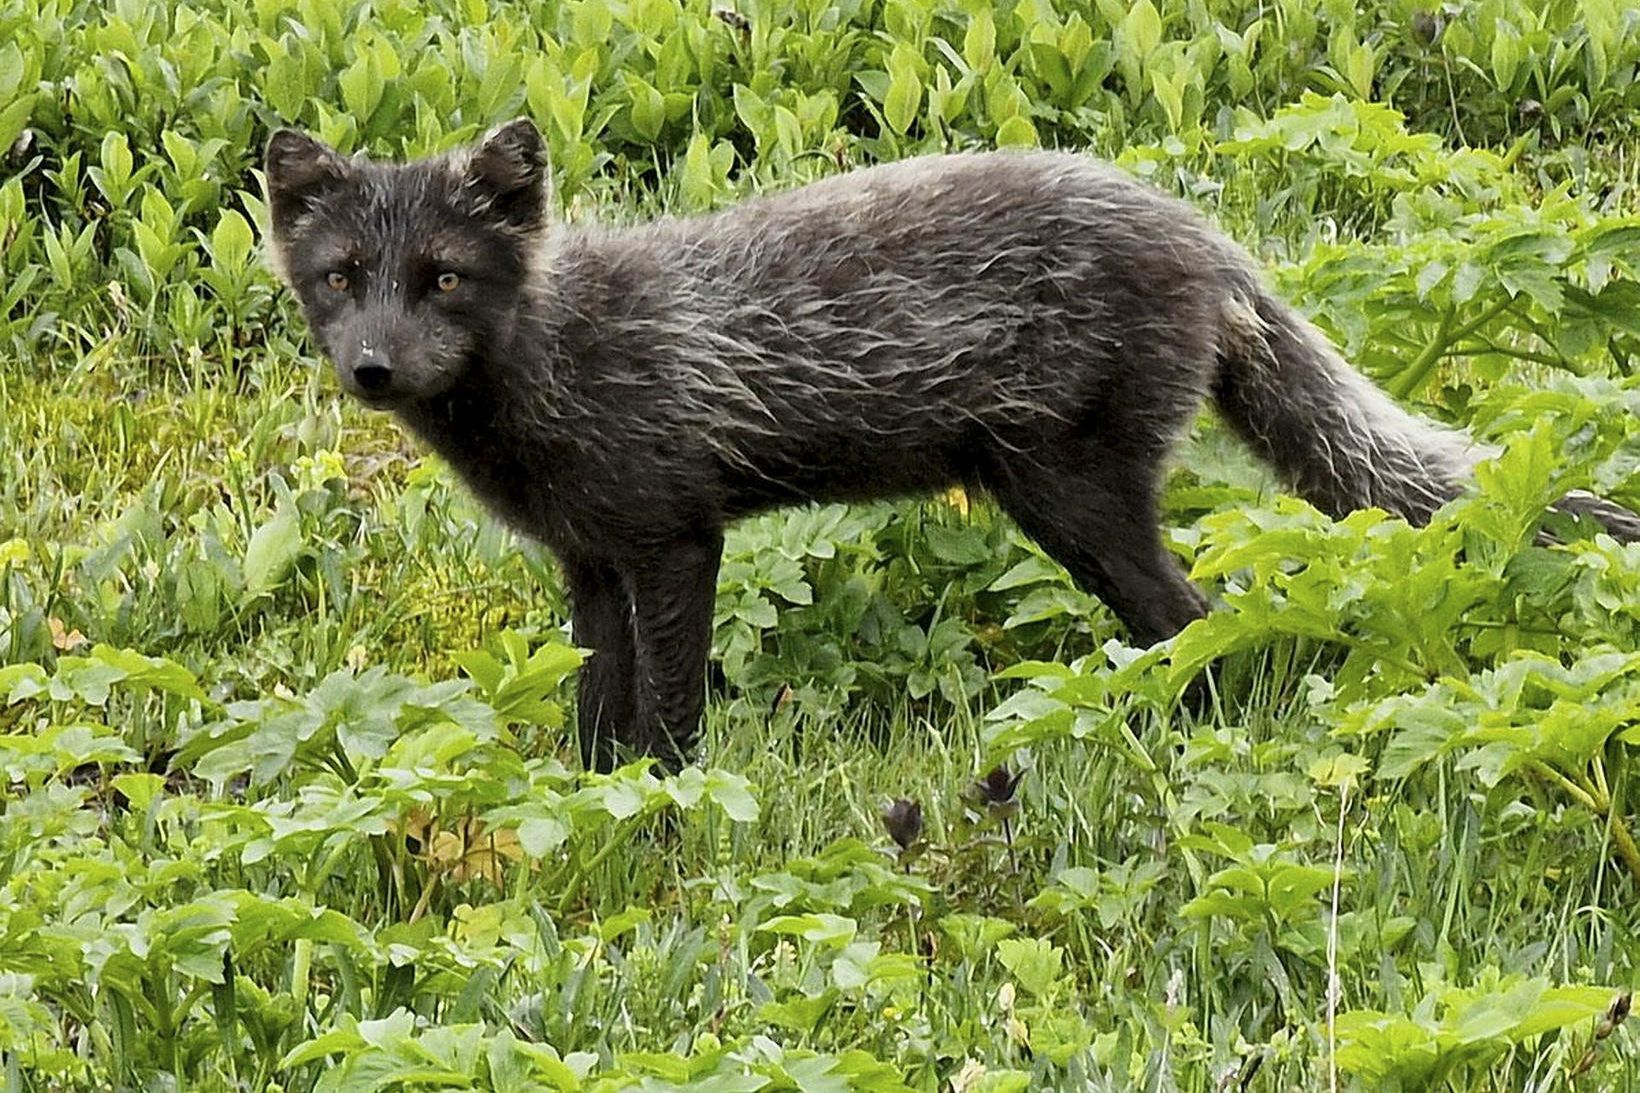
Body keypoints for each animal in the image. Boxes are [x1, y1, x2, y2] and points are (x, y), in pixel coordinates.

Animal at [262, 117, 1633, 764]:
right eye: (340, 278)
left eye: (443, 278)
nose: (373, 367)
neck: (552, 363)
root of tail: (1205, 236)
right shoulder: (589, 560)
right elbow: (597, 716)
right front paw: (589, 798)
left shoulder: (672, 537)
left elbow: (671, 713)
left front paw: (668, 815)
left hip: (1069, 497)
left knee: (1196, 620)